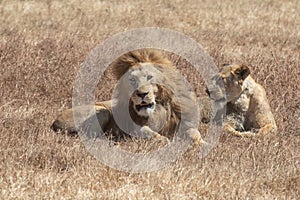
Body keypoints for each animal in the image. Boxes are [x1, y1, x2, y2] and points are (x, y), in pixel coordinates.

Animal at [51, 50, 203, 144]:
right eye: (132, 80)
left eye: (149, 77)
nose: (142, 94)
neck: (158, 110)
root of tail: (54, 121)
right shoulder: (135, 128)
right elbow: (149, 133)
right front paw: (163, 140)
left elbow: (194, 134)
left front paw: (202, 144)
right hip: (102, 111)